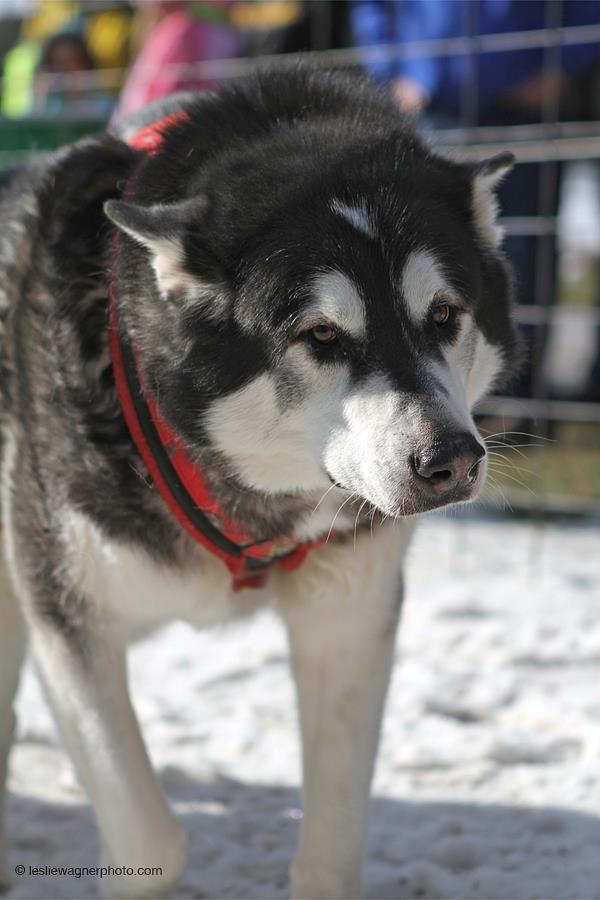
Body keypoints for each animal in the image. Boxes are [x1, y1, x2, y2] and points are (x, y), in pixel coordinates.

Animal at [0, 72, 516, 900]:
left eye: (444, 315)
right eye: (321, 335)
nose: (451, 461)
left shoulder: (349, 615)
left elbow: (331, 851)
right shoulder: (69, 617)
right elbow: (151, 837)